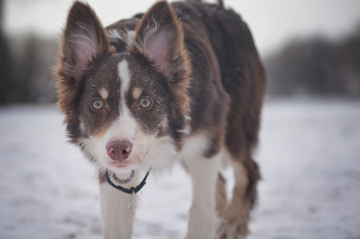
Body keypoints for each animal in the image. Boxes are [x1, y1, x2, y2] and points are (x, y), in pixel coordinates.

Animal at [55, 0, 264, 238]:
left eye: (145, 102)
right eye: (97, 104)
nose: (118, 150)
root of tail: (228, 11)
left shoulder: (207, 142)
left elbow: (200, 210)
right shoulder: (108, 167)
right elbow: (116, 225)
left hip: (233, 127)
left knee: (248, 171)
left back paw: (231, 225)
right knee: (221, 183)